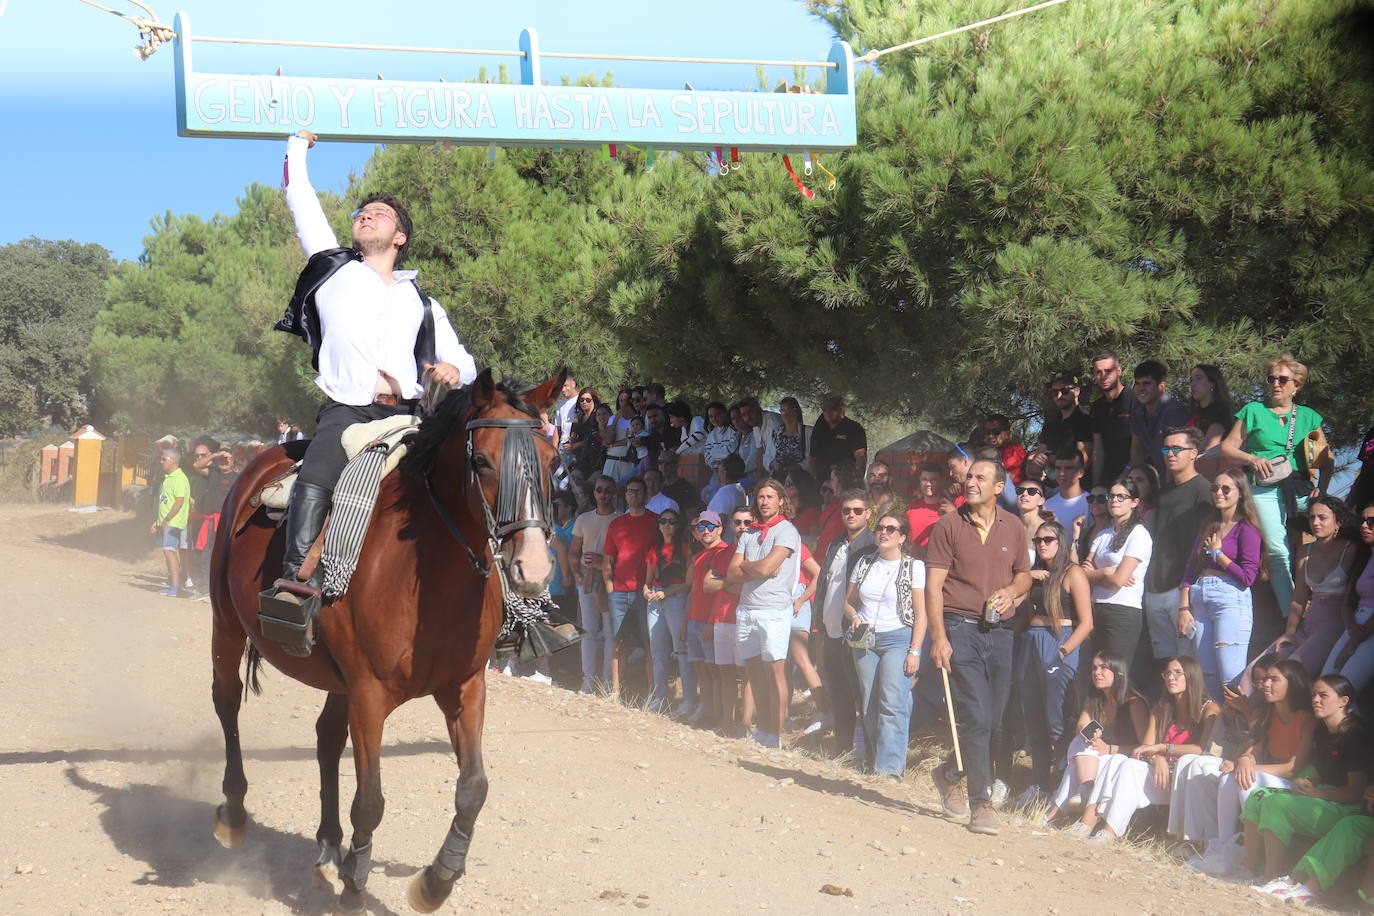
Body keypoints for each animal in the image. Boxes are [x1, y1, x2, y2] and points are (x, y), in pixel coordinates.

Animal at [208, 368, 563, 911]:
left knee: (326, 739)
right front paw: (357, 885)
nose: (534, 567)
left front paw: (437, 880)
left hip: (337, 680)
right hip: (227, 626)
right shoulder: (371, 695)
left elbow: (474, 787)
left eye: (553, 461)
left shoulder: (464, 688)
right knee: (227, 703)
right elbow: (371, 801)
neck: (426, 579)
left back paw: (328, 848)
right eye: (481, 460)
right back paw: (234, 813)